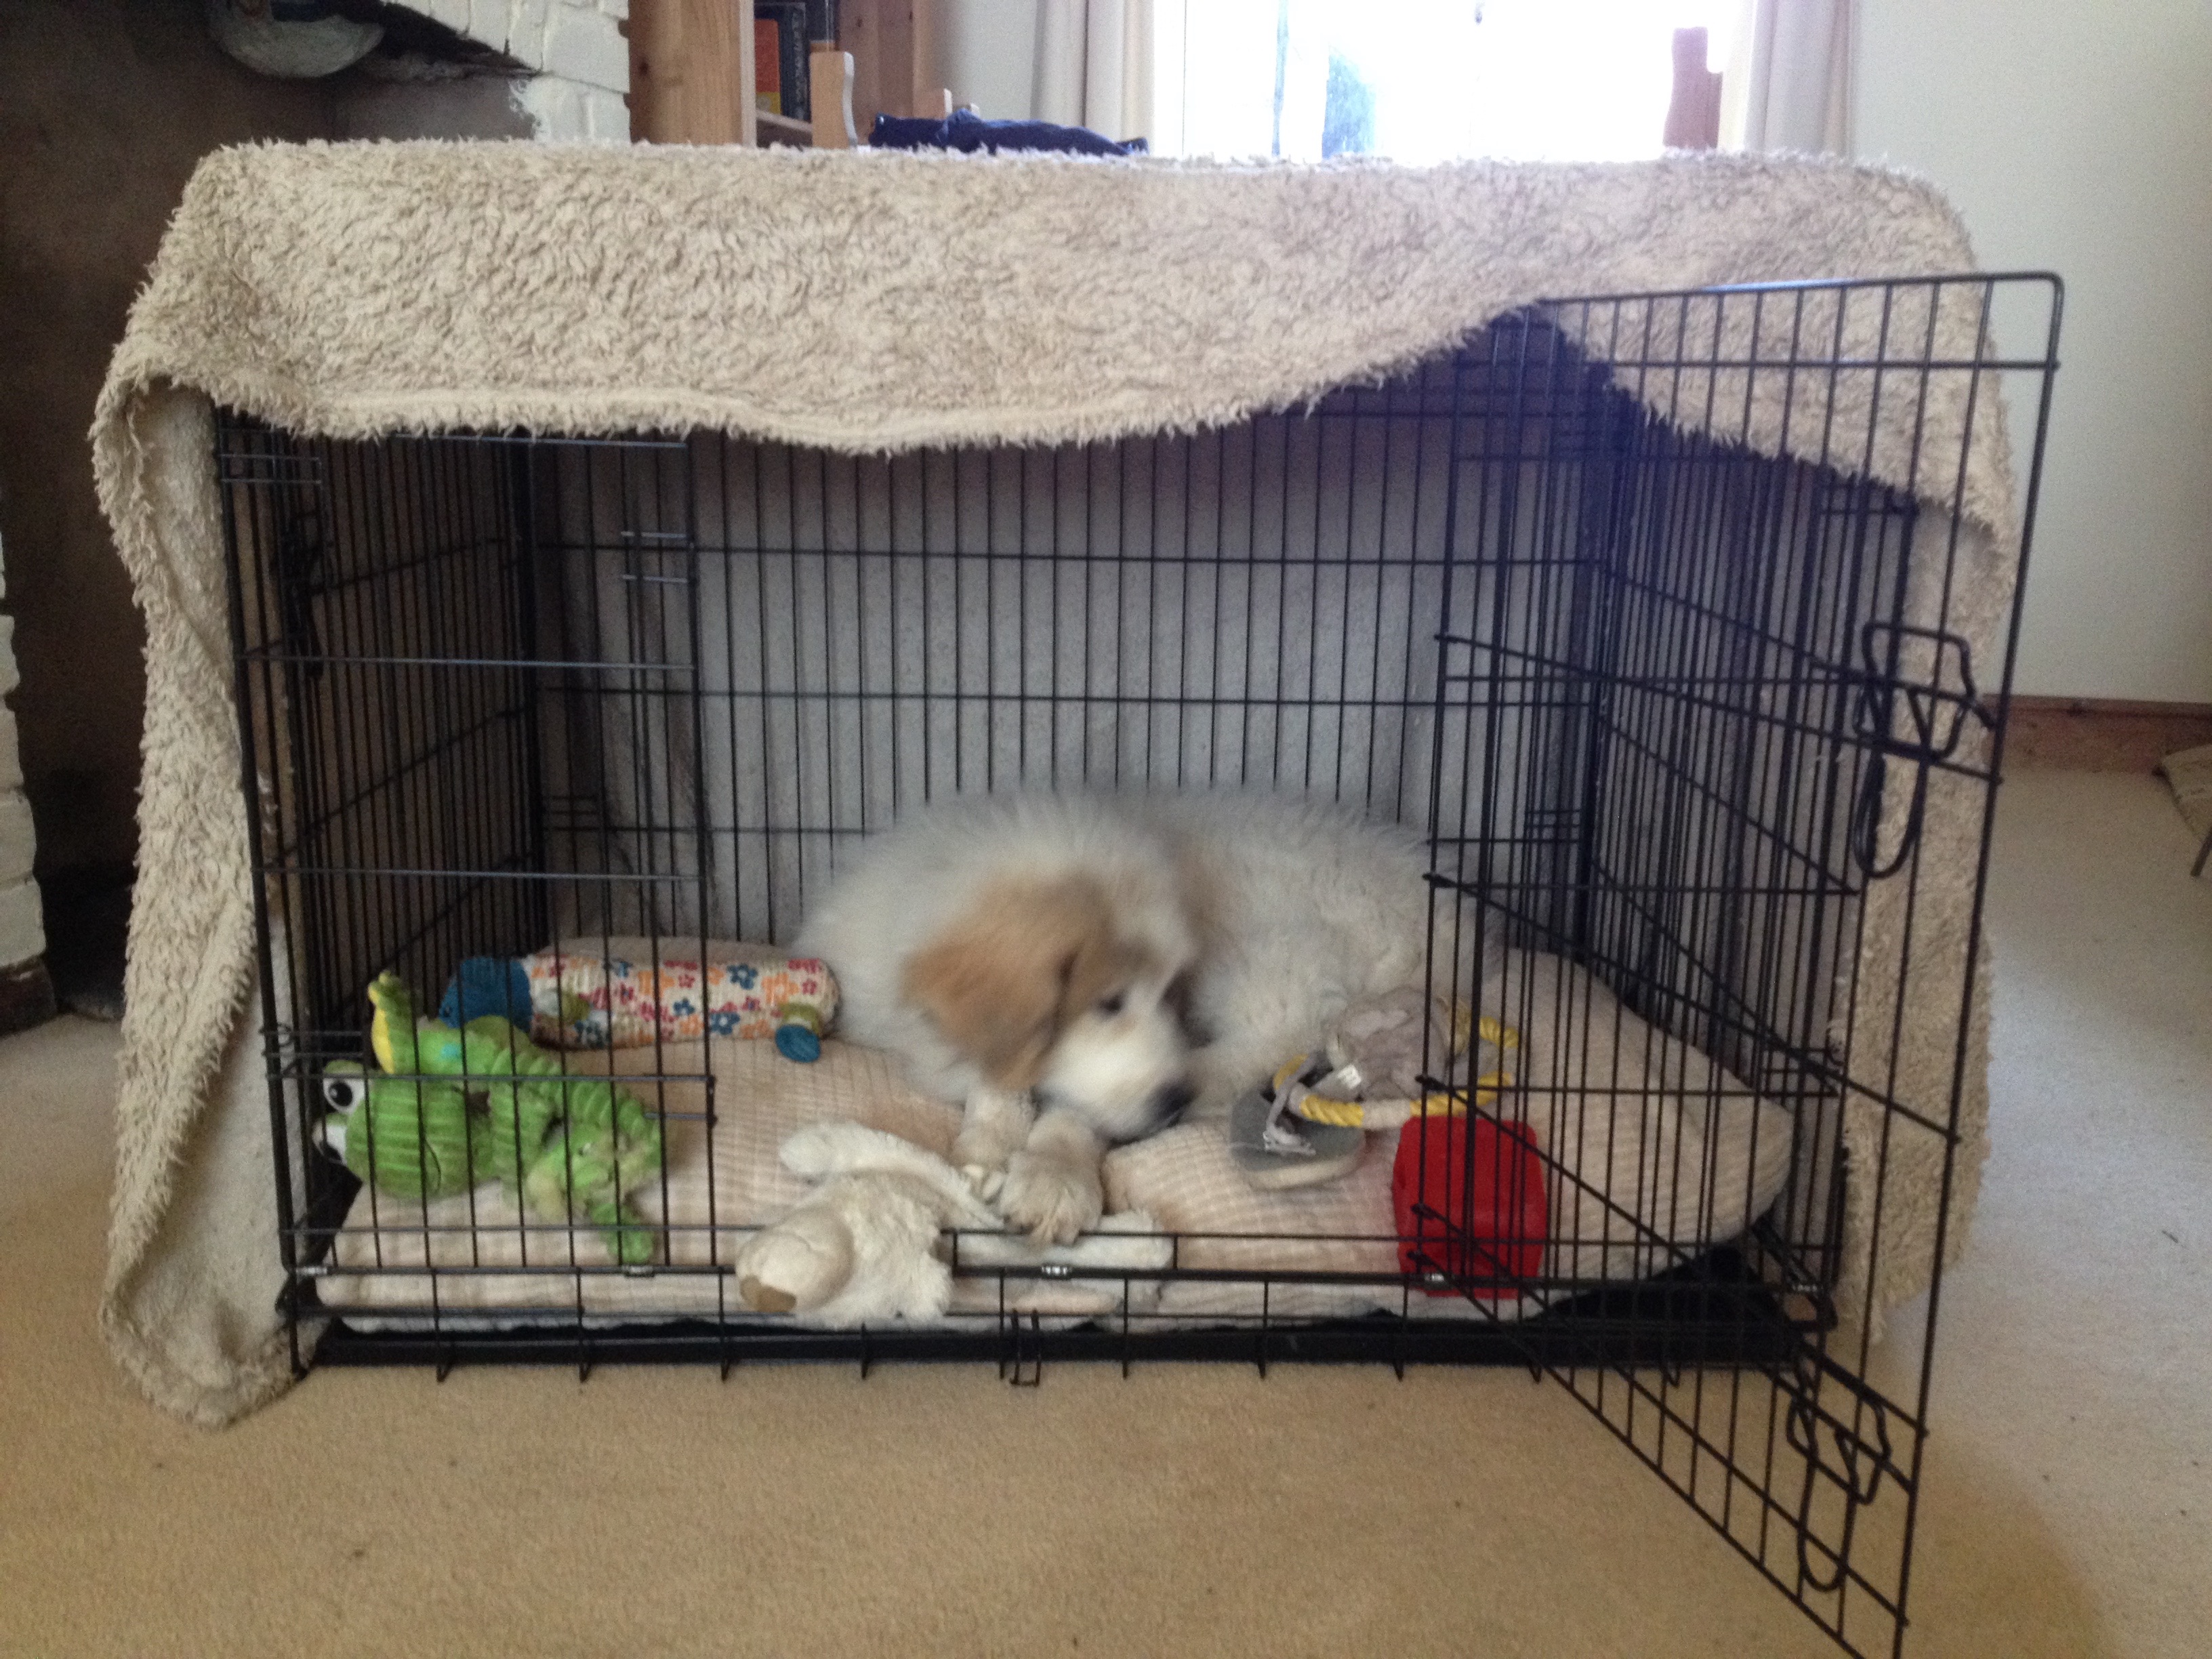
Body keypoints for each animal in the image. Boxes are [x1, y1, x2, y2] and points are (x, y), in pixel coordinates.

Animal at [796, 796, 1486, 1247]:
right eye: (1107, 1002)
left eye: (1168, 991)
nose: (1172, 1101)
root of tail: (1448, 924)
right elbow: (1001, 1075)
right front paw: (989, 1143)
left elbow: (1070, 1102)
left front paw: (1050, 1174)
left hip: (1276, 954)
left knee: (1271, 1034)